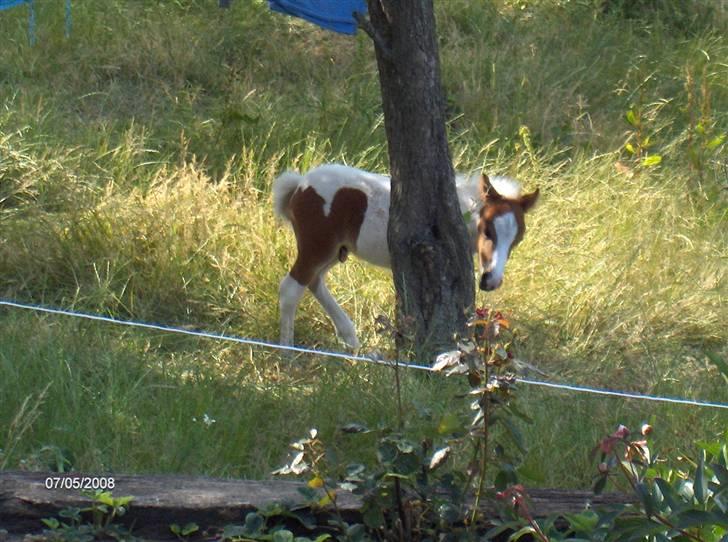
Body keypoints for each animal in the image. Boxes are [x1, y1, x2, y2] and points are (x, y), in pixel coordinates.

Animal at [276, 165, 536, 348]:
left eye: (518, 238)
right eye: (487, 230)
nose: (491, 280)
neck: (463, 207)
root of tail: (300, 185)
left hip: (334, 251)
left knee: (313, 282)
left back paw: (350, 339)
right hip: (317, 247)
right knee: (291, 288)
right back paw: (288, 352)